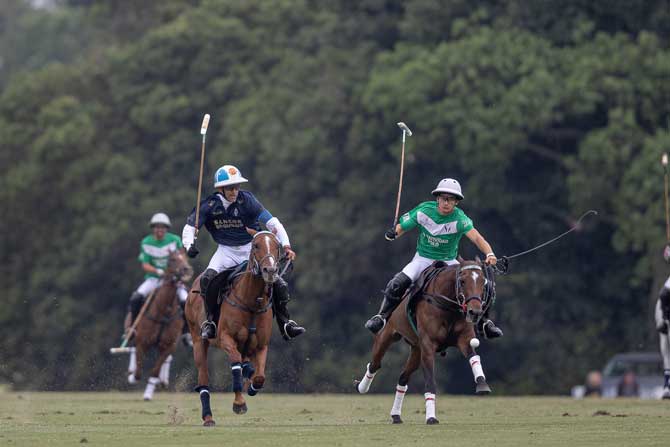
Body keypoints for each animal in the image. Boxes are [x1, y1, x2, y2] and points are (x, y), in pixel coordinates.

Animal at [127, 250, 193, 400]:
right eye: (172, 260)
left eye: (186, 258)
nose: (186, 269)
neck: (164, 311)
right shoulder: (143, 342)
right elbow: (138, 372)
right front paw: (132, 377)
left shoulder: (168, 344)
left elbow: (155, 371)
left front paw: (149, 393)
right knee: (132, 345)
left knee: (166, 359)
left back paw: (163, 381)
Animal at [186, 231, 284, 428]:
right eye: (256, 245)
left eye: (277, 246)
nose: (270, 271)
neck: (252, 301)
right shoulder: (226, 339)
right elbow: (236, 369)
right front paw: (239, 404)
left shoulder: (261, 345)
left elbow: (260, 377)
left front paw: (253, 386)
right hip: (199, 341)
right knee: (204, 380)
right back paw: (208, 417)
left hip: (246, 346)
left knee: (247, 365)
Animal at [356, 260, 494, 424]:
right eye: (462, 281)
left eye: (483, 282)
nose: (475, 312)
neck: (448, 306)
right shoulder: (428, 345)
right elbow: (430, 381)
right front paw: (431, 417)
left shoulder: (464, 339)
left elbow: (474, 357)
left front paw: (482, 385)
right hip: (386, 336)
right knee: (374, 364)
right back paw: (362, 387)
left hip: (417, 349)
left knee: (403, 377)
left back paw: (396, 415)